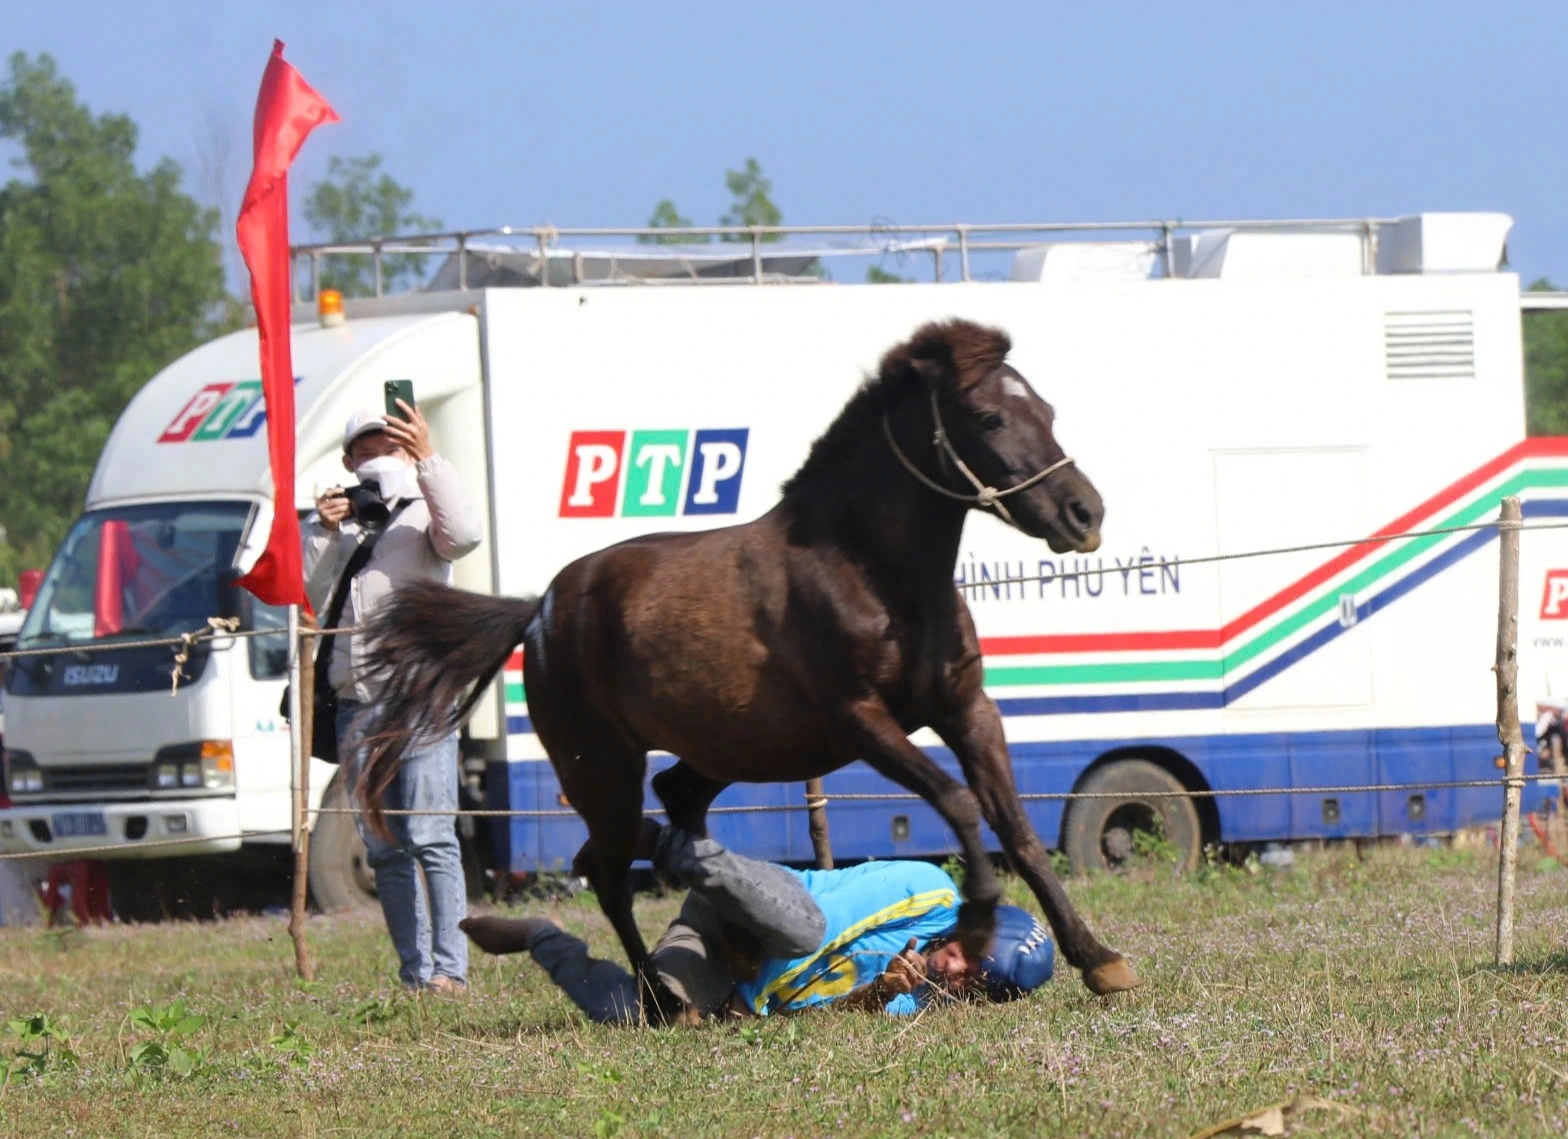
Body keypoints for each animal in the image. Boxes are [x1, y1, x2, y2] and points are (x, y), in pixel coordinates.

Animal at [355, 316, 1141, 1004]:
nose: (1085, 513)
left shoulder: (966, 708)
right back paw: (660, 997)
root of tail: (540, 609)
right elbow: (957, 802)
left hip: (728, 748)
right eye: (986, 417)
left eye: (1046, 408)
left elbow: (1019, 830)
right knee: (608, 870)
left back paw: (726, 951)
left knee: (671, 809)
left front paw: (1099, 960)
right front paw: (976, 923)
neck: (873, 571)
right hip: (601, 768)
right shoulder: (861, 720)